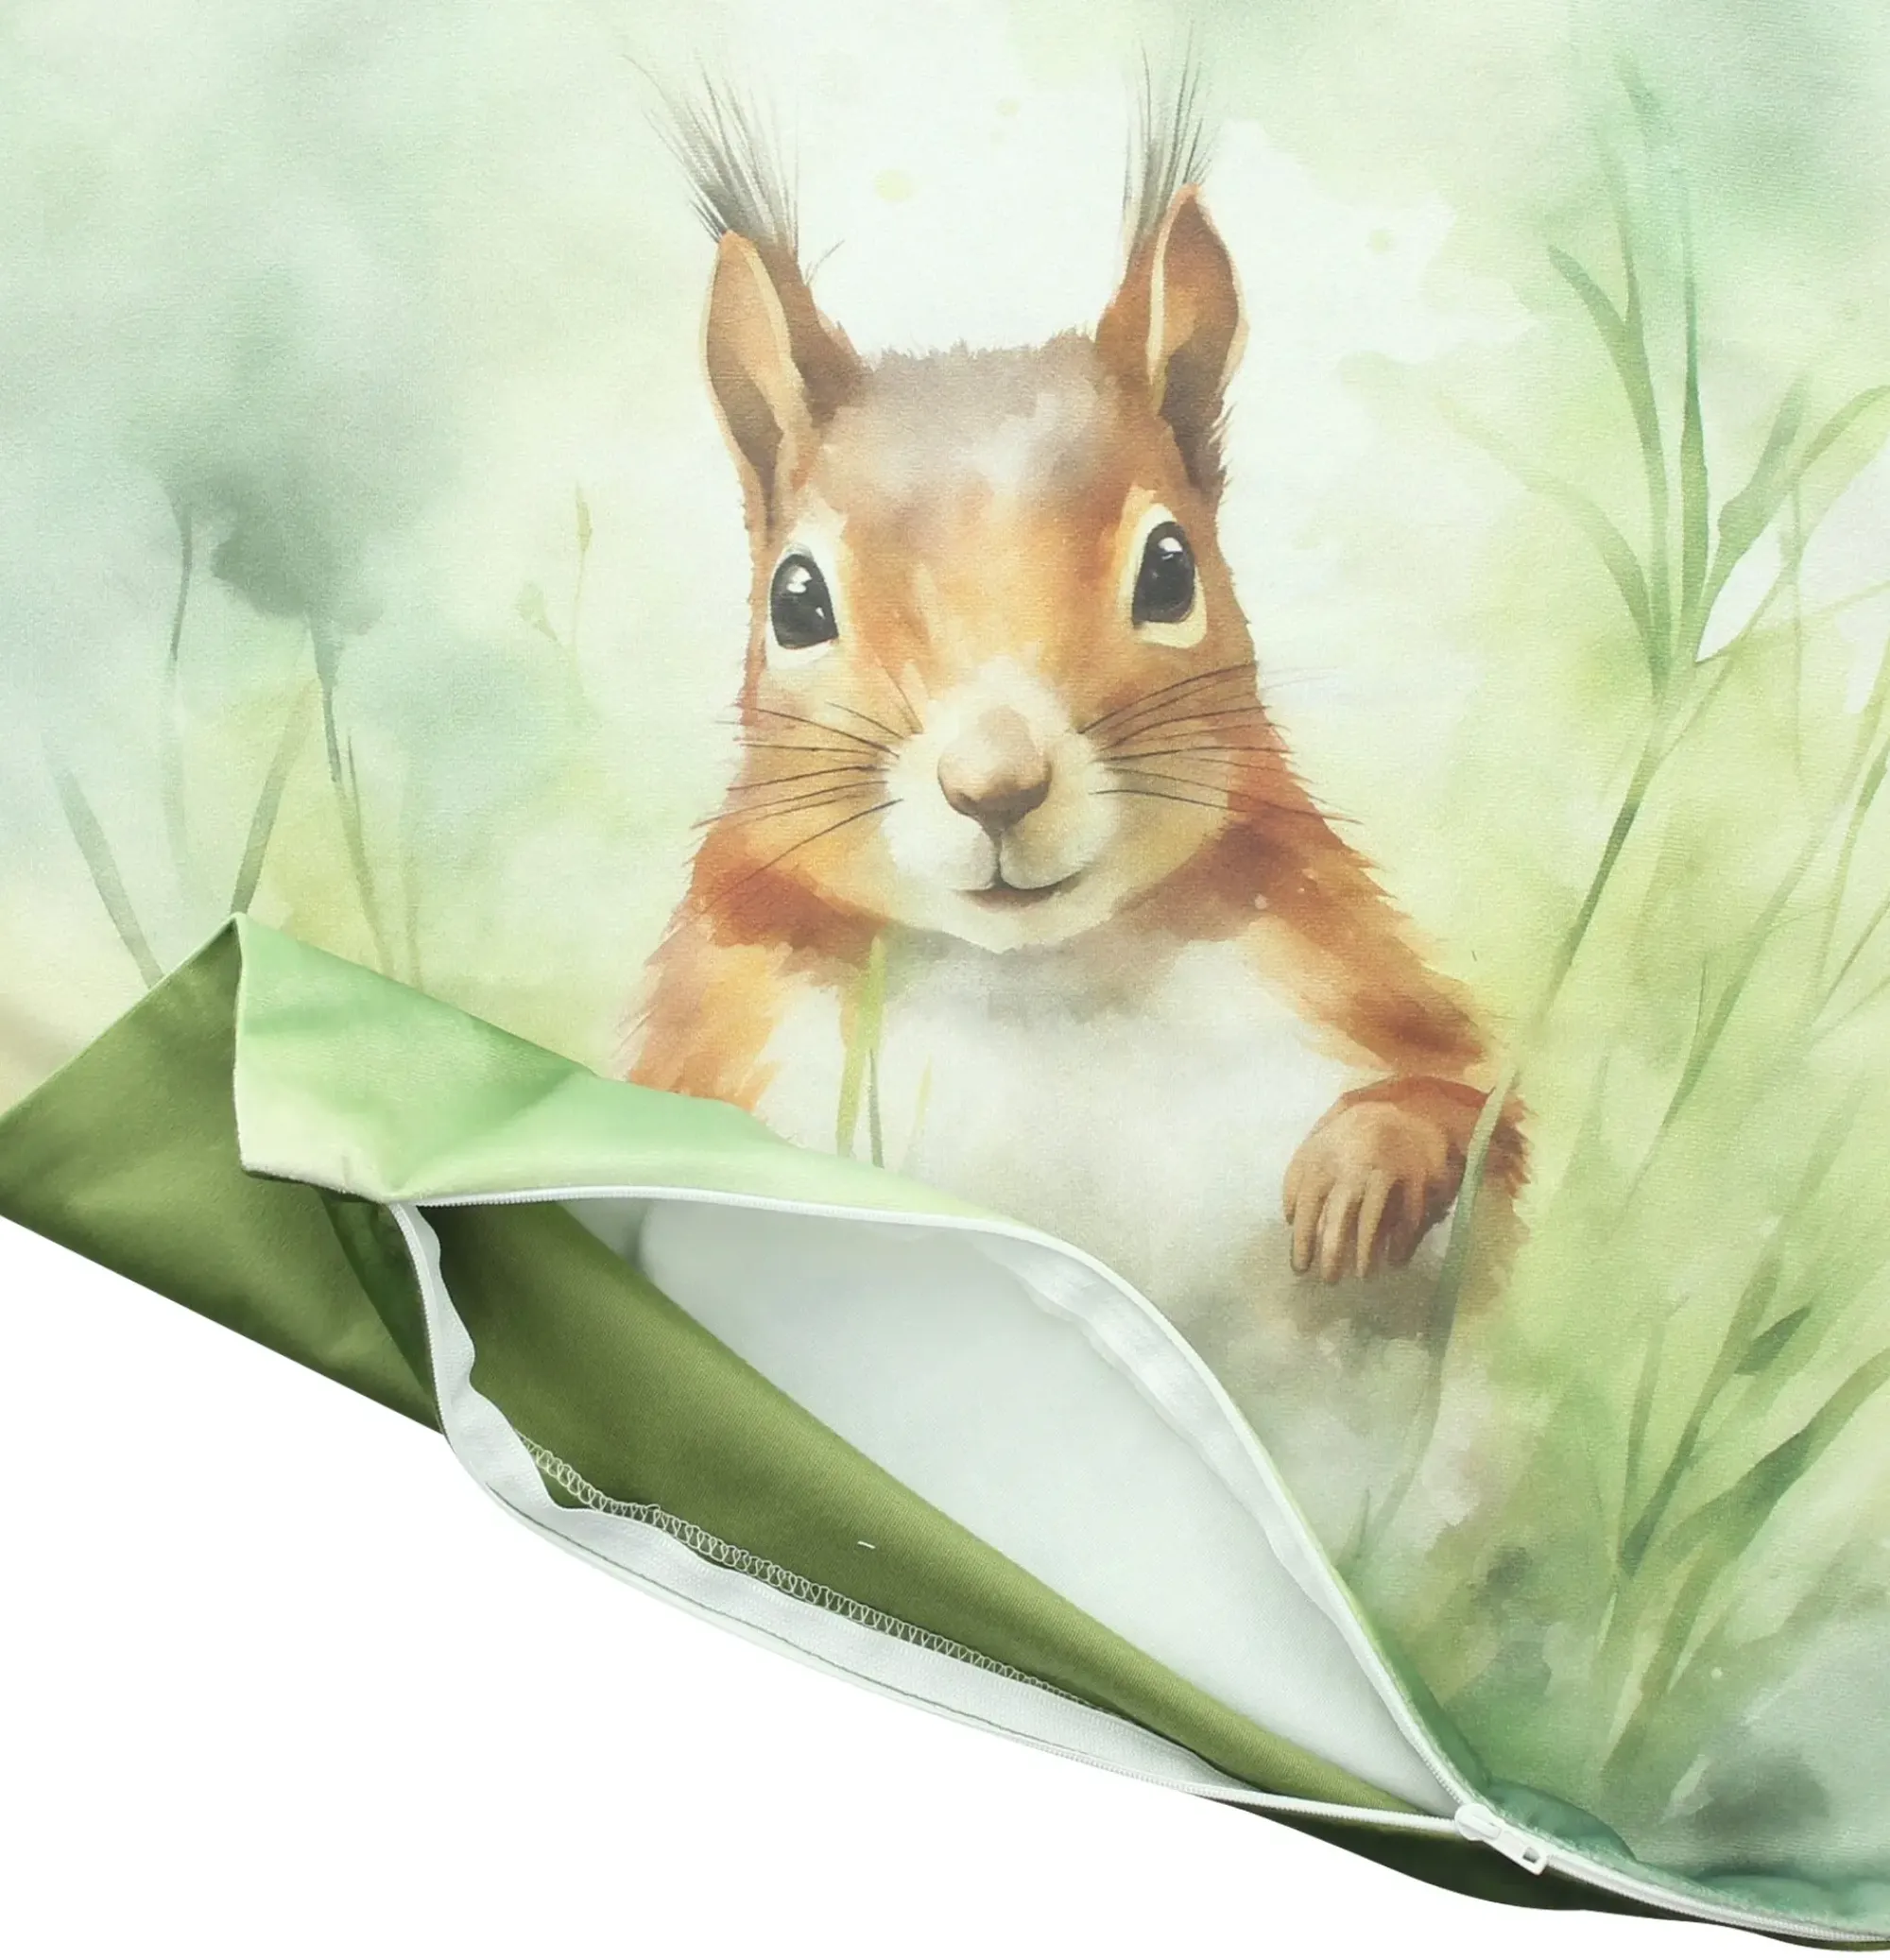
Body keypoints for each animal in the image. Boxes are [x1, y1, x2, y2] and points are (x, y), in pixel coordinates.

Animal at [625, 86, 1524, 1356]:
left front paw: (1357, 1174)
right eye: (794, 602)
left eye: (1169, 569)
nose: (995, 785)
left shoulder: (1352, 989)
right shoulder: (708, 1050)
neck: (1037, 984)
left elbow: (1469, 1103)